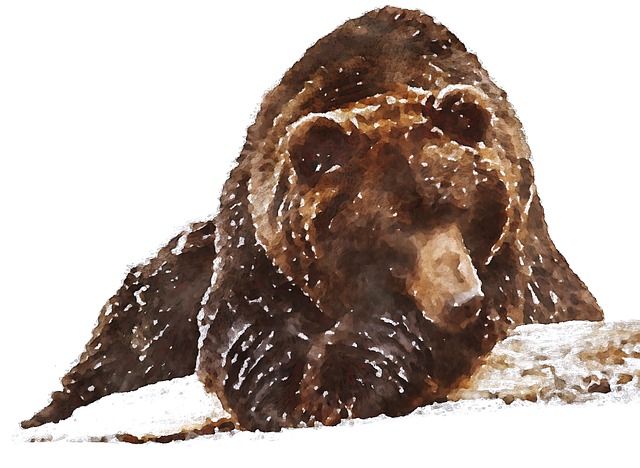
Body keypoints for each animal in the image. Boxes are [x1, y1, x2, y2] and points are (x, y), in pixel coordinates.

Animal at [22, 6, 602, 437]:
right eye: (393, 225)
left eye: (464, 209)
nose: (462, 301)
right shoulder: (255, 231)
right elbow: (245, 322)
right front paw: (285, 394)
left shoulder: (509, 247)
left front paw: (339, 383)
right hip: (171, 279)